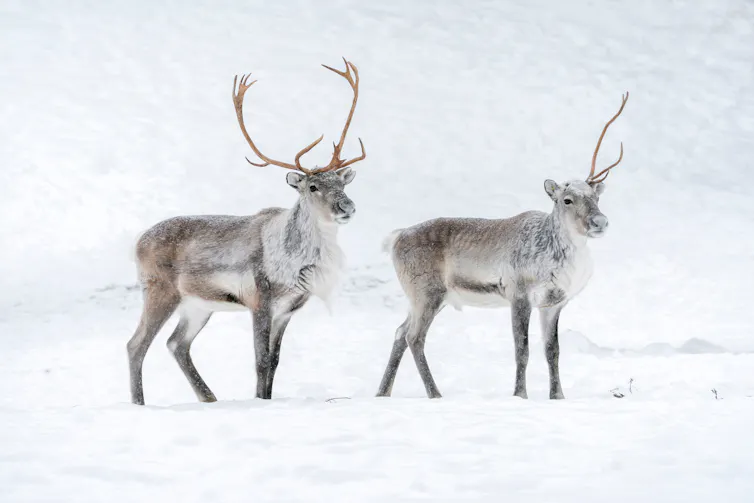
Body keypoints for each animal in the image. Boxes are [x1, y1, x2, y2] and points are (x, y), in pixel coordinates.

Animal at [126, 59, 366, 405]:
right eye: (312, 186)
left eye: (342, 183)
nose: (347, 207)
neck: (297, 263)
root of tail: (137, 242)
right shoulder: (259, 300)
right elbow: (260, 359)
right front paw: (259, 401)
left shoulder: (287, 310)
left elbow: (275, 361)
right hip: (159, 290)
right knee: (137, 344)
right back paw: (140, 403)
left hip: (197, 304)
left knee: (176, 343)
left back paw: (209, 398)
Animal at [376, 93, 629, 400]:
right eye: (567, 199)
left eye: (596, 197)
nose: (600, 222)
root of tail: (396, 238)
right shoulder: (519, 295)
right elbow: (522, 350)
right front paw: (520, 395)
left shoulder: (554, 304)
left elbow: (552, 352)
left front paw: (557, 396)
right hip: (427, 292)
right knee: (414, 337)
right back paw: (435, 394)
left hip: (427, 299)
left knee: (400, 332)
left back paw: (382, 393)